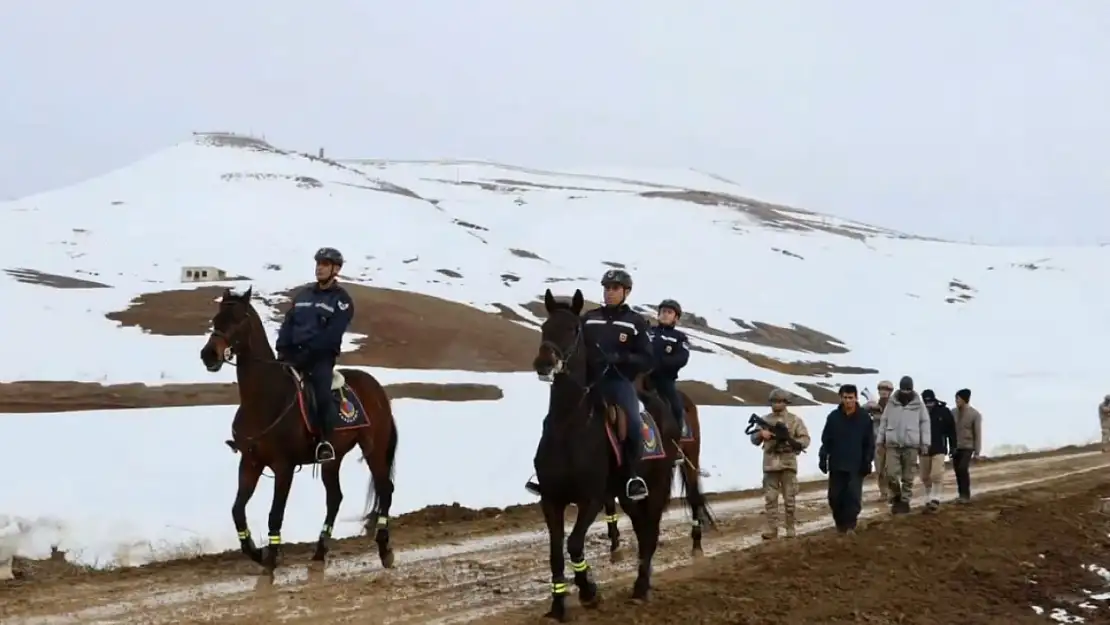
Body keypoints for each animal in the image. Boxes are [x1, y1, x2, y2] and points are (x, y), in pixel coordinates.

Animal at [198, 286, 399, 572]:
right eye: (216, 319)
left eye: (237, 320)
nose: (209, 355)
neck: (265, 397)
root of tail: (377, 388)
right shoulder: (250, 462)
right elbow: (237, 510)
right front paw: (255, 552)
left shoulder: (284, 467)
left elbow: (275, 513)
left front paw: (271, 558)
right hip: (332, 459)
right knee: (335, 498)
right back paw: (320, 552)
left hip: (374, 449)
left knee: (385, 490)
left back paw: (384, 549)